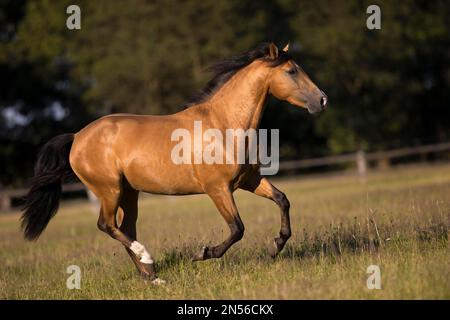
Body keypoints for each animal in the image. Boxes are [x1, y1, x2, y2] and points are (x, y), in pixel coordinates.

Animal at [20, 42, 326, 282]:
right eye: (291, 71)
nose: (322, 100)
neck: (224, 124)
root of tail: (77, 137)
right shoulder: (218, 189)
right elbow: (237, 228)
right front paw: (203, 253)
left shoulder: (248, 181)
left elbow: (283, 200)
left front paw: (276, 246)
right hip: (109, 190)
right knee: (106, 225)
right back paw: (147, 258)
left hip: (128, 192)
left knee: (125, 228)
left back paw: (152, 276)